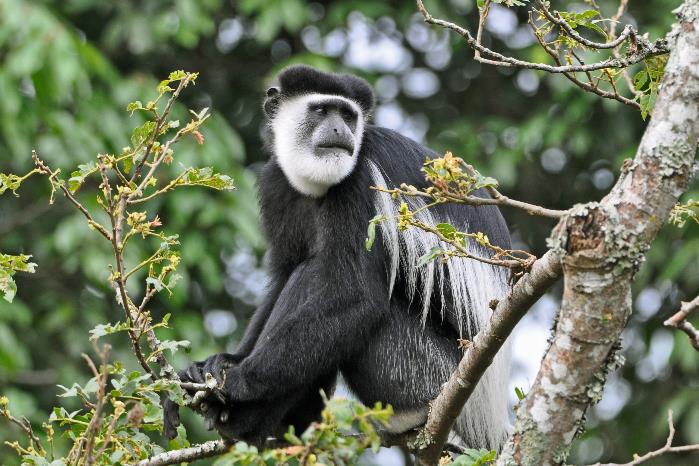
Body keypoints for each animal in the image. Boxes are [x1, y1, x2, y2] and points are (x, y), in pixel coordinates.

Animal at [178, 64, 512, 448]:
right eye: (323, 110)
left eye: (349, 115)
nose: (341, 130)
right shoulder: (275, 185)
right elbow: (282, 276)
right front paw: (222, 362)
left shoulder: (359, 184)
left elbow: (355, 297)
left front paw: (237, 382)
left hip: (429, 373)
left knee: (324, 282)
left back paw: (241, 421)